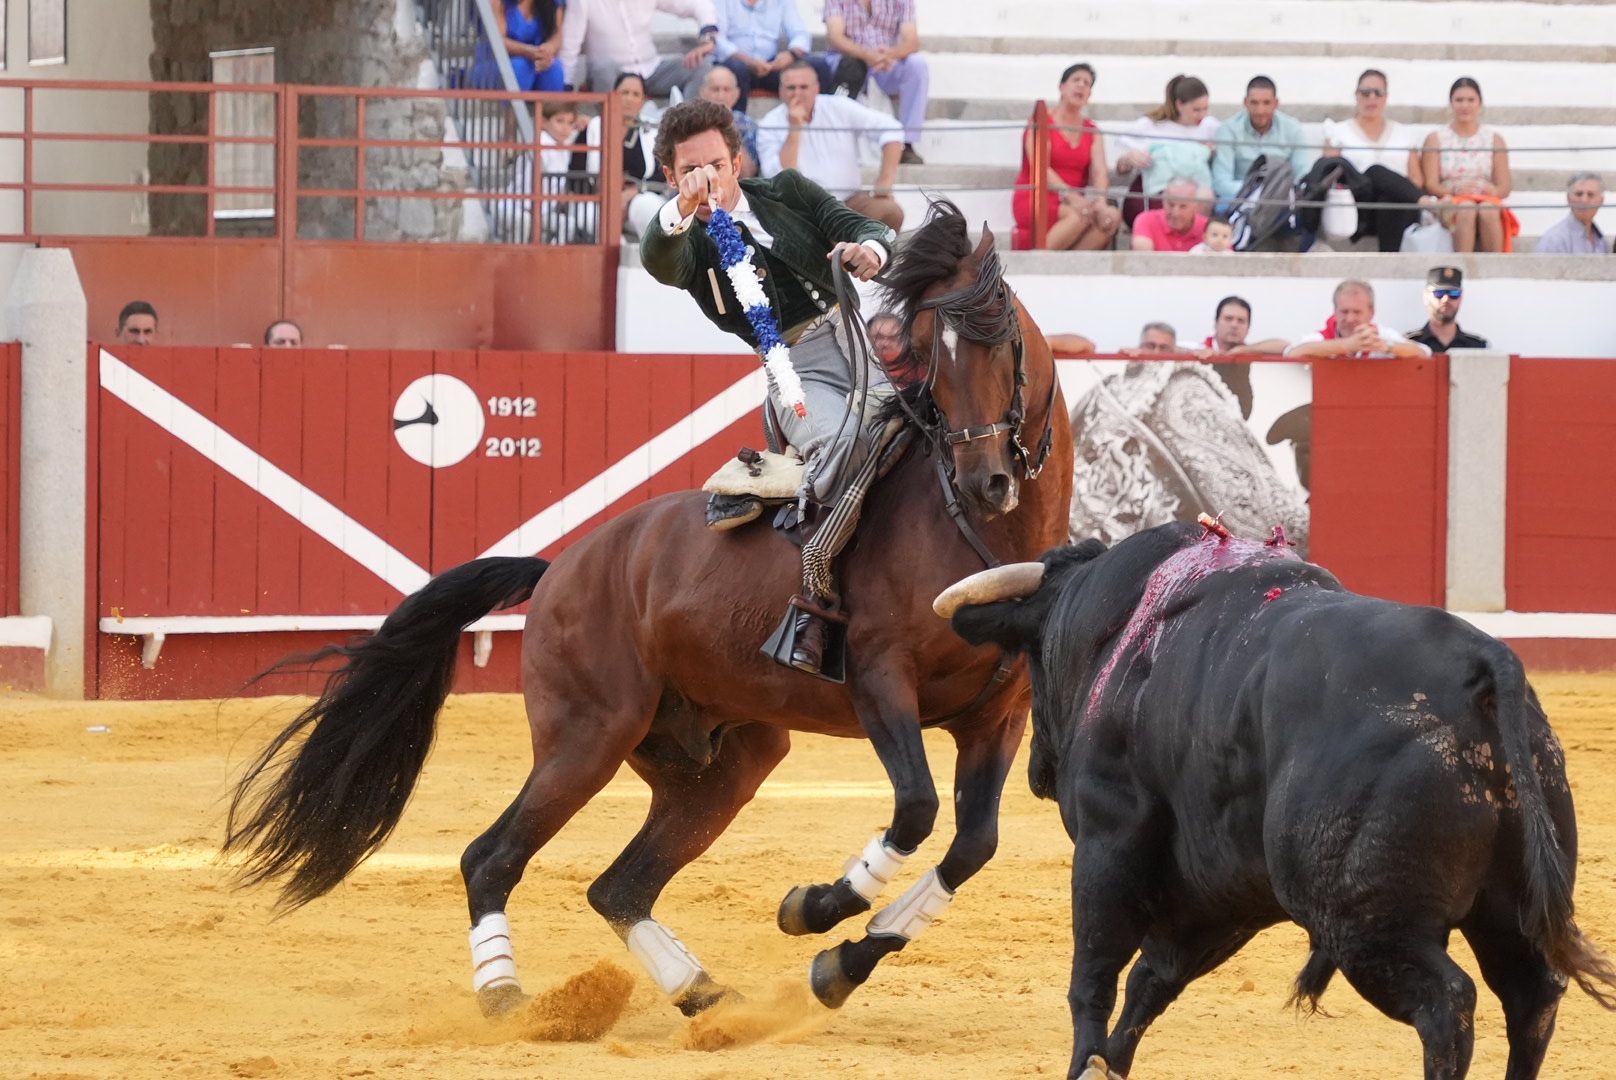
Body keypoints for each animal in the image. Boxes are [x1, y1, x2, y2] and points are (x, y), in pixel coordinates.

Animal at [224, 198, 1073, 1015]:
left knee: (619, 885)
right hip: (587, 736)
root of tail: (562, 567)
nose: (986, 481)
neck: (968, 531)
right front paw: (815, 908)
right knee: (491, 858)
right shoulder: (878, 681)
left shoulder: (998, 717)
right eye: (927, 346)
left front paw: (841, 963)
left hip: (722, 762)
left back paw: (701, 994)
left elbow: (972, 846)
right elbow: (918, 812)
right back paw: (507, 996)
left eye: (1000, 339)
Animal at [943, 517, 1616, 1073]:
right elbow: (1150, 981)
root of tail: (1482, 664)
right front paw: (1110, 1064)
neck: (1120, 630)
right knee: (1532, 997)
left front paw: (1087, 1063)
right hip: (1507, 905)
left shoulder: (1109, 842)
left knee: (1448, 1005)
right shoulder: (1223, 890)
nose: (1037, 770)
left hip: (1367, 922)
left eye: (1031, 656)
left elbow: (1095, 977)